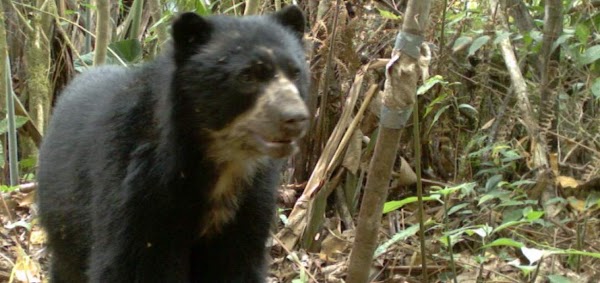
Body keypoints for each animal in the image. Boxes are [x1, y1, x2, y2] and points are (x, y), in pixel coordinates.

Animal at [36, 5, 310, 283]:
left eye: (296, 72)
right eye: (247, 76)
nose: (295, 118)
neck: (221, 161)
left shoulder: (250, 202)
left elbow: (237, 265)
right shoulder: (136, 185)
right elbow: (129, 265)